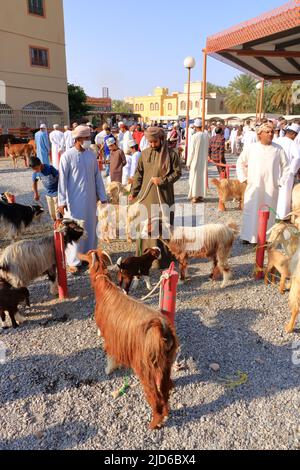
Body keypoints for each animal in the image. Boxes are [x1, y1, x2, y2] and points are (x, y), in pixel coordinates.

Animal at [78, 250, 179, 430]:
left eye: (88, 255)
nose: (78, 255)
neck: (104, 287)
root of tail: (162, 331)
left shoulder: (110, 335)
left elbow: (110, 355)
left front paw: (109, 369)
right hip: (166, 364)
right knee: (166, 390)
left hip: (146, 369)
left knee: (156, 398)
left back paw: (154, 423)